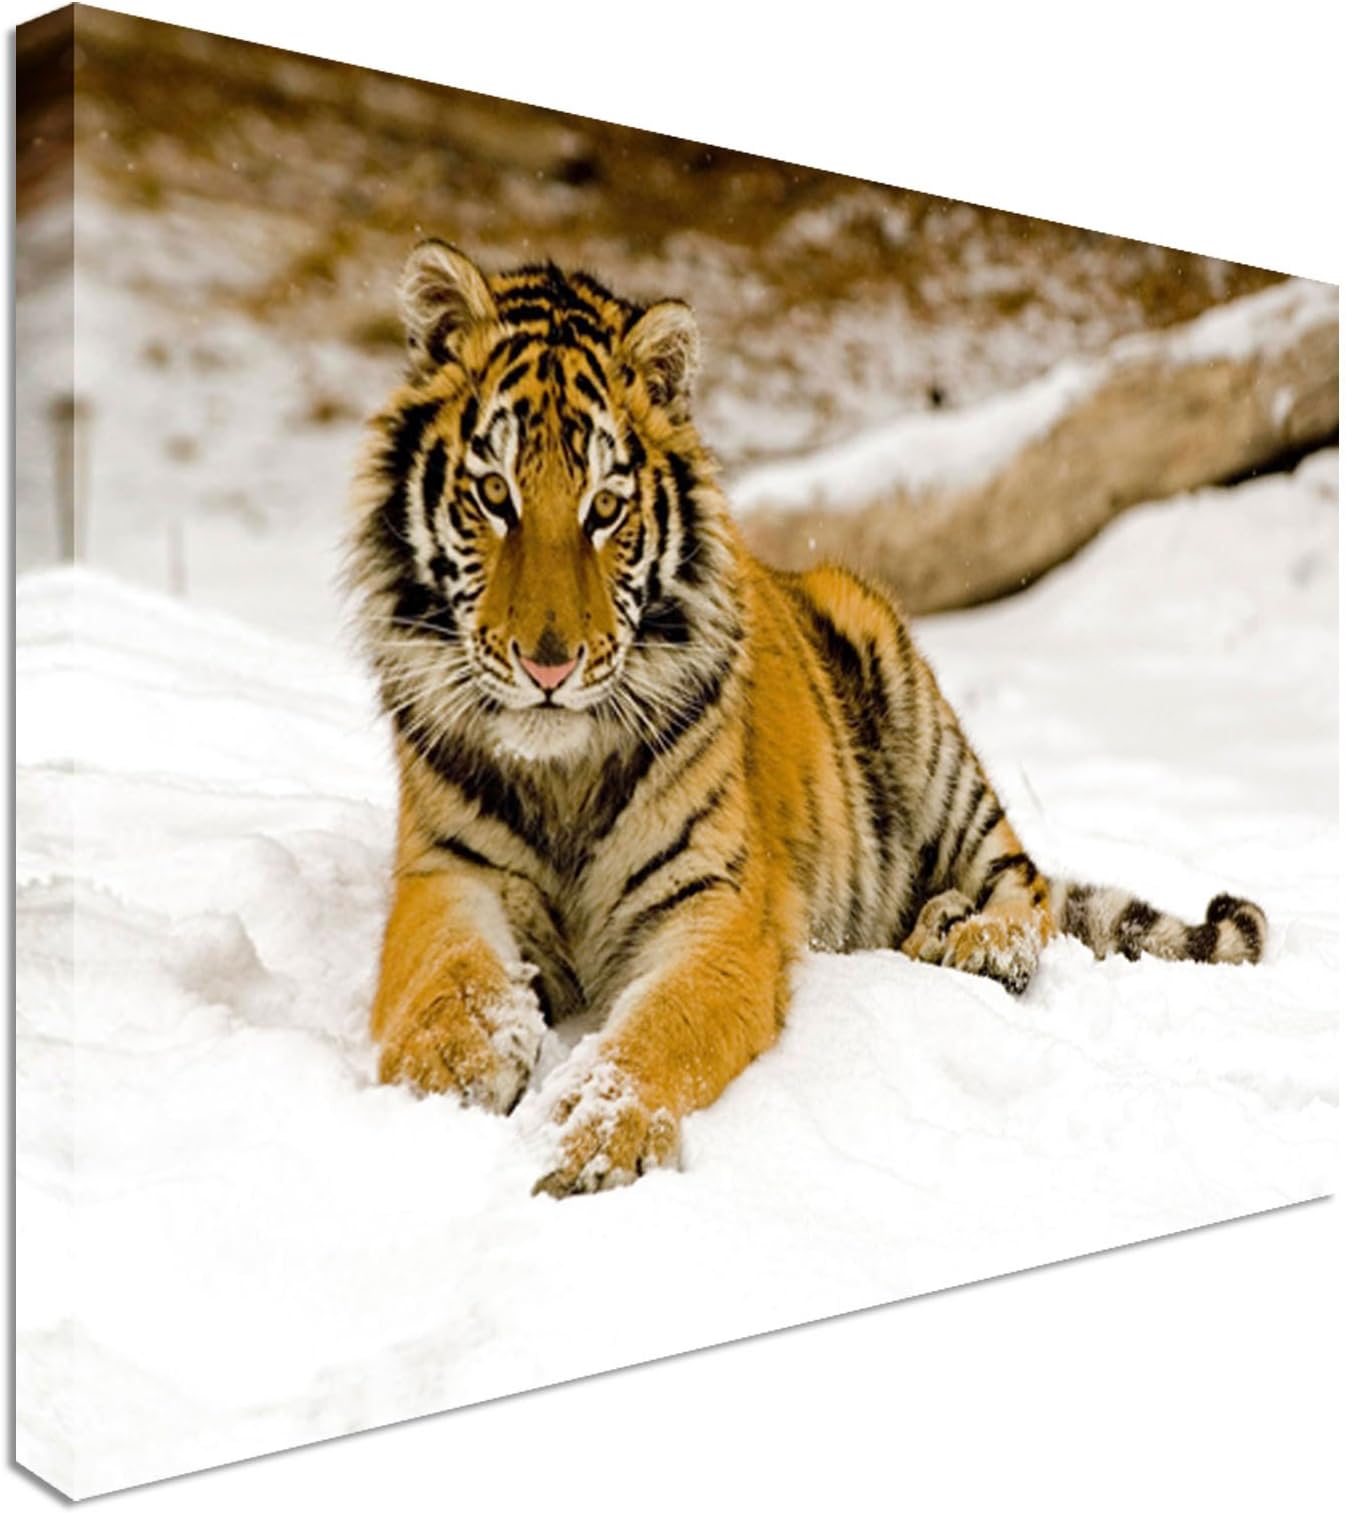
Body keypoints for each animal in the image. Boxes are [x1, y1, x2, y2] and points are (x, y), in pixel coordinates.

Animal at [347, 239, 1267, 1198]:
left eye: (605, 508)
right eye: (494, 495)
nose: (550, 663)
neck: (561, 768)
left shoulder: (717, 907)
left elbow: (658, 1033)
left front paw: (597, 1141)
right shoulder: (447, 874)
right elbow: (451, 979)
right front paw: (442, 1083)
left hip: (922, 727)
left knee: (1030, 890)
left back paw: (977, 942)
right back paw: (937, 927)